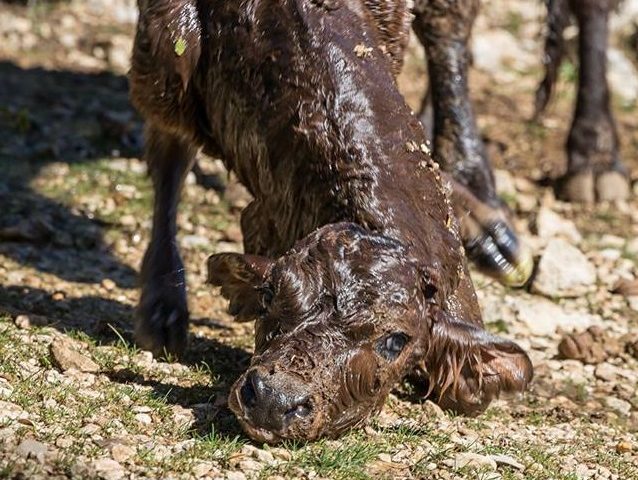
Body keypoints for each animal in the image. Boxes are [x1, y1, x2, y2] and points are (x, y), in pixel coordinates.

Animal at [130, 0, 536, 442]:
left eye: (395, 341)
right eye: (270, 294)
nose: (274, 399)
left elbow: (470, 389)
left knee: (449, 33)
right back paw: (163, 310)